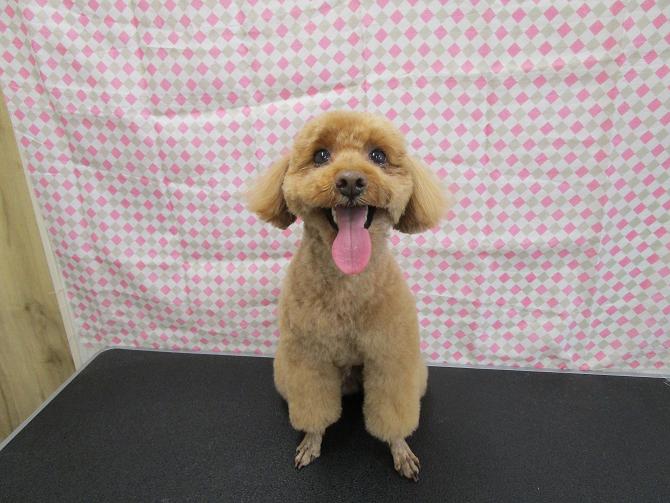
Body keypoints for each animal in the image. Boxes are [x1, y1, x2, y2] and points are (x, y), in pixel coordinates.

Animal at [247, 110, 448, 481]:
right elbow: (314, 410)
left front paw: (399, 448)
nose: (351, 181)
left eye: (378, 156)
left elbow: (393, 414)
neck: (347, 284)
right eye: (321, 156)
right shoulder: (309, 358)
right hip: (284, 371)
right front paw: (312, 441)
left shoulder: (391, 357)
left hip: (416, 372)